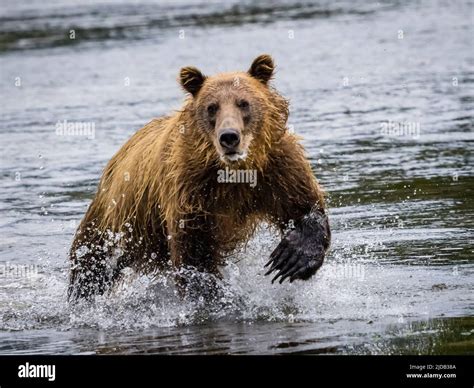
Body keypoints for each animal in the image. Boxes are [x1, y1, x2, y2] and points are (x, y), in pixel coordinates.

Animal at [67, 54, 330, 302]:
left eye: (243, 103)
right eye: (212, 107)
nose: (229, 137)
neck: (235, 171)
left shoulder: (277, 168)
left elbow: (304, 207)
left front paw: (291, 258)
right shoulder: (190, 189)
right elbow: (193, 252)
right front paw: (211, 294)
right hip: (113, 221)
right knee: (90, 263)